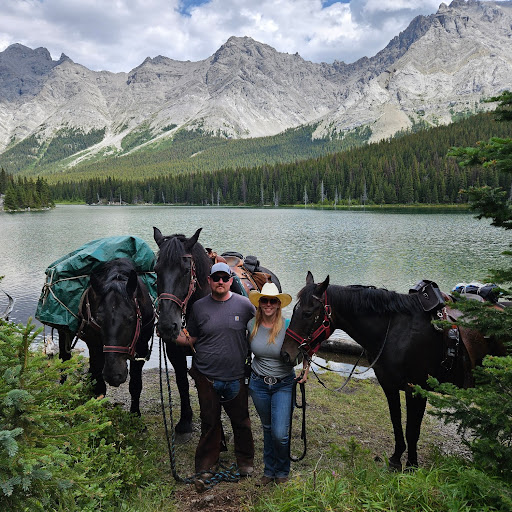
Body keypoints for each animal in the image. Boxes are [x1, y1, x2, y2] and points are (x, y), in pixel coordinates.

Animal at [57, 258, 154, 414]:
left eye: (131, 318)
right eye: (99, 319)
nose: (114, 375)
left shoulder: (142, 347)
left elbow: (135, 384)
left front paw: (135, 414)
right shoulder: (96, 345)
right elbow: (99, 383)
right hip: (65, 333)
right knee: (65, 360)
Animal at [282, 274, 506, 470]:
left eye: (308, 313)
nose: (286, 353)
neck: (396, 333)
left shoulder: (416, 389)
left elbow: (412, 430)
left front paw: (412, 465)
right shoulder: (389, 386)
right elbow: (396, 423)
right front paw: (396, 459)